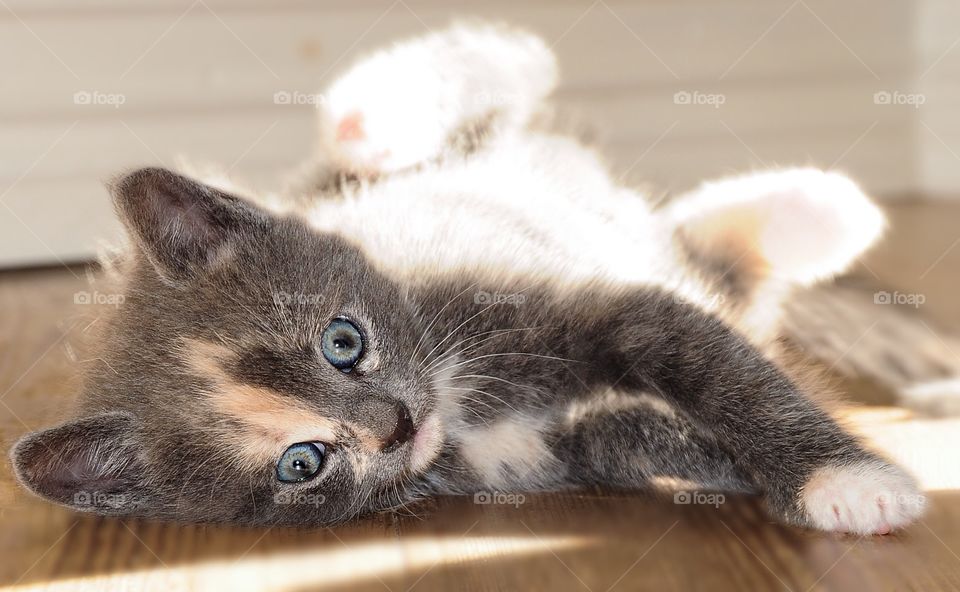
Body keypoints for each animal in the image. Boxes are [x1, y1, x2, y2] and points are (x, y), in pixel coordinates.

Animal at [11, 23, 928, 536]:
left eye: (343, 341)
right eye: (300, 464)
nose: (394, 426)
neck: (456, 395)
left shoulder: (578, 303)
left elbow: (716, 365)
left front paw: (848, 479)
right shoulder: (551, 448)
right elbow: (638, 434)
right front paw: (748, 471)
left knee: (514, 56)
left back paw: (379, 113)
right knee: (714, 254)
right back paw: (812, 215)